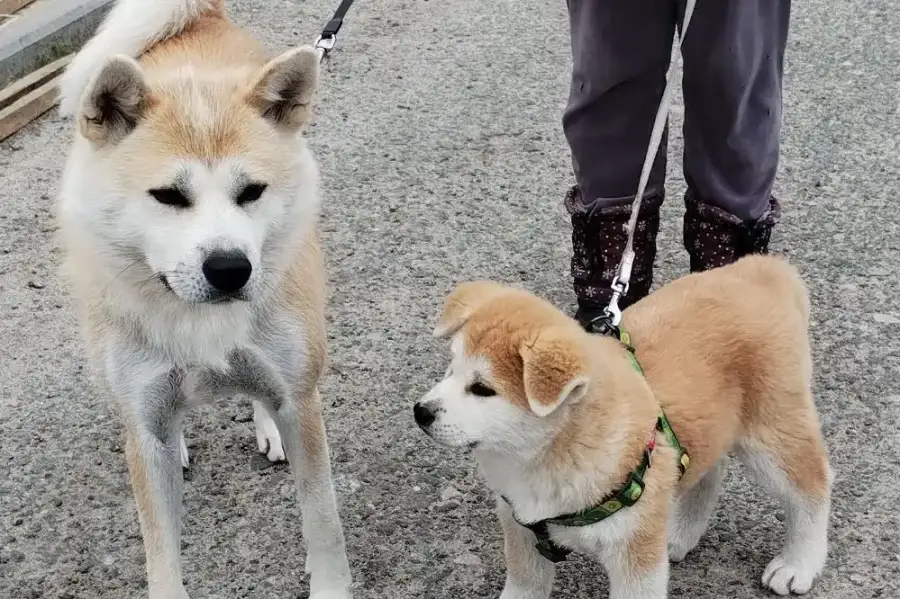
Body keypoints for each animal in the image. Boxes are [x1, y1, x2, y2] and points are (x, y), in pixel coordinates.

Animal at [54, 1, 354, 599]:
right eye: (168, 196)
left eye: (252, 192)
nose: (231, 269)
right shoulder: (144, 429)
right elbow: (161, 554)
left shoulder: (301, 400)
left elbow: (323, 523)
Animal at [418, 256, 832, 599]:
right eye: (450, 370)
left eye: (482, 389)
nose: (420, 412)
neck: (549, 457)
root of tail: (762, 268)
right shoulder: (521, 532)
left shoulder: (635, 554)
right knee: (710, 471)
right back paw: (680, 532)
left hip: (771, 435)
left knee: (813, 484)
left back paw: (798, 564)